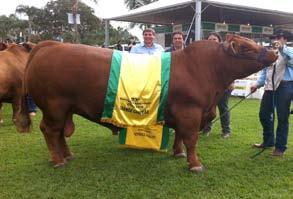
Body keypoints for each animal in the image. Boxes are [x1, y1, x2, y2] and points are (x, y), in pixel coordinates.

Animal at [15, 34, 276, 171]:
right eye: (246, 48)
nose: (274, 52)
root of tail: (50, 44)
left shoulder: (183, 114)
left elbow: (180, 137)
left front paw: (178, 154)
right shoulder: (190, 113)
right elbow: (191, 139)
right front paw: (195, 164)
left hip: (64, 109)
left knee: (59, 132)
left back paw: (67, 155)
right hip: (54, 106)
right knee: (50, 131)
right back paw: (59, 161)